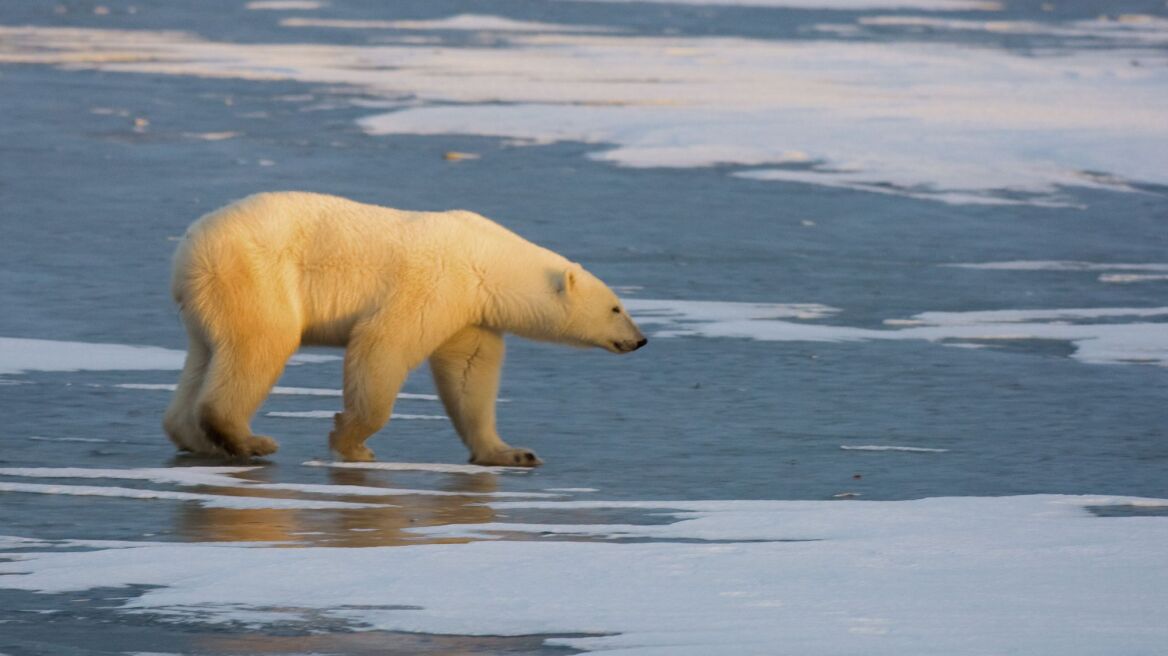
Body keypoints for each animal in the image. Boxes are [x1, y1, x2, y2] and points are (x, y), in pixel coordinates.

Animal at [162, 190, 649, 464]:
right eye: (616, 308)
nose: (640, 340)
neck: (486, 261)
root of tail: (188, 248)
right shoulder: (435, 283)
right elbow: (383, 345)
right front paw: (352, 441)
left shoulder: (470, 312)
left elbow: (470, 374)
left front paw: (512, 452)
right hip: (256, 275)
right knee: (262, 343)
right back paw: (249, 441)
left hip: (210, 298)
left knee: (206, 355)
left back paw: (195, 438)